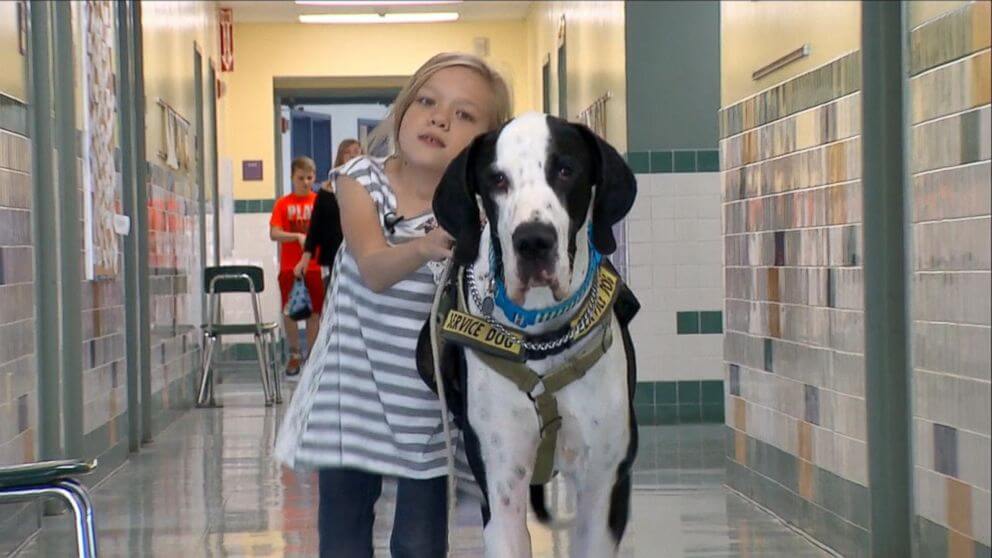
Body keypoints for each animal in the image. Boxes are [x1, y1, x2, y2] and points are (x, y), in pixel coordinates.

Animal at [422, 111, 640, 556]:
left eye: (565, 170)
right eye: (496, 179)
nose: (533, 241)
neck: (542, 338)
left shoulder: (605, 486)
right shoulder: (500, 486)